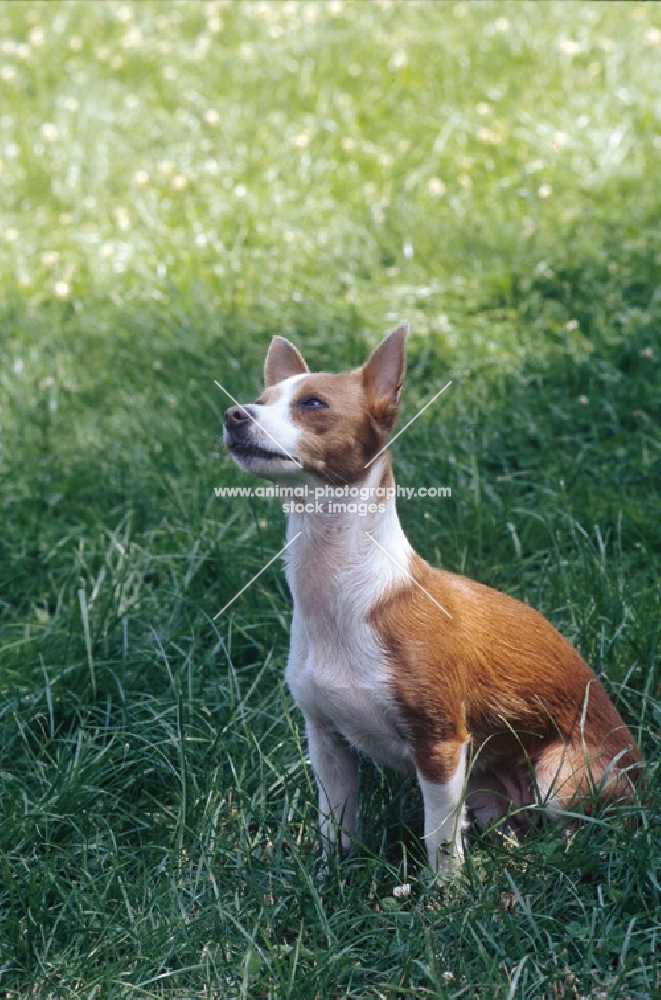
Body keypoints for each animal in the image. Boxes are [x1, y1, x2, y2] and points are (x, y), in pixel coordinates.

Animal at [222, 322, 640, 876]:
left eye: (313, 403)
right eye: (260, 399)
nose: (234, 414)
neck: (337, 587)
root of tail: (646, 779)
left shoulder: (439, 745)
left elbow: (438, 837)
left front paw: (446, 893)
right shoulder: (327, 743)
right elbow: (337, 824)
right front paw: (331, 878)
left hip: (559, 776)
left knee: (579, 832)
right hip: (485, 793)